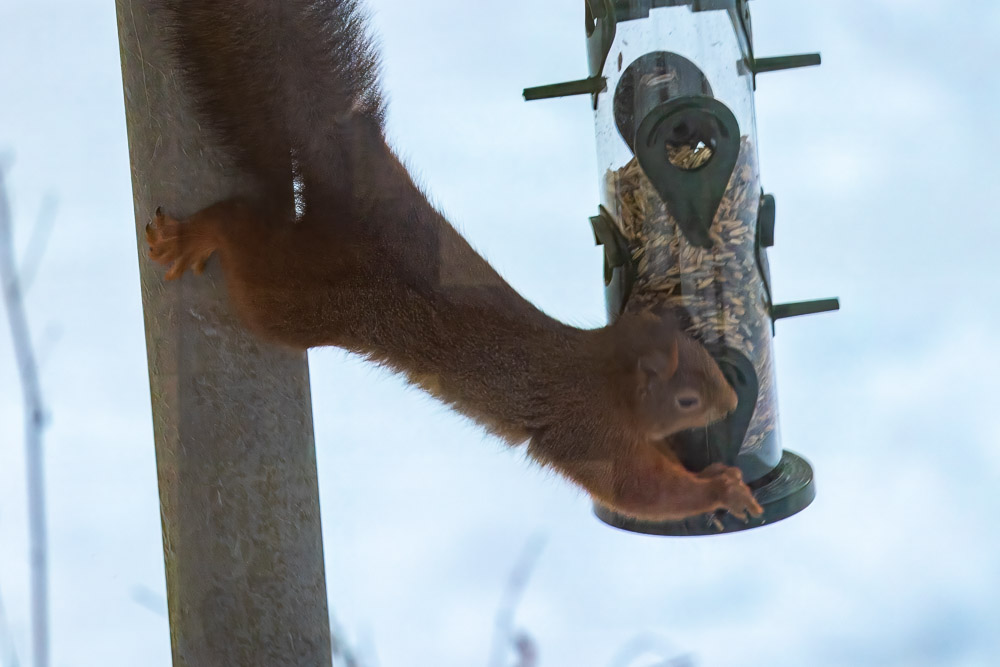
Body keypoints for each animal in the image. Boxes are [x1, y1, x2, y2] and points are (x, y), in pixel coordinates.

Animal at [145, 0, 760, 520]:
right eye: (687, 398)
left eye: (708, 365)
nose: (731, 402)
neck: (606, 376)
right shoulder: (589, 435)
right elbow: (640, 491)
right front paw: (719, 490)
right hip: (286, 297)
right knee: (246, 237)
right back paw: (194, 236)